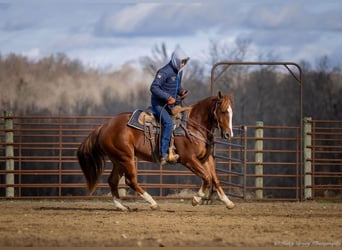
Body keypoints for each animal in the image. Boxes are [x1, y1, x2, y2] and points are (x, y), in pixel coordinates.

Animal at [77, 91, 235, 210]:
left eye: (231, 112)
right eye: (222, 111)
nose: (229, 134)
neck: (193, 125)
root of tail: (104, 126)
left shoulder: (206, 158)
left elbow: (215, 178)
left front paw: (227, 201)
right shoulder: (188, 159)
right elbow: (206, 177)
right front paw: (196, 199)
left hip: (118, 160)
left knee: (112, 180)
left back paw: (121, 206)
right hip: (126, 158)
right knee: (130, 180)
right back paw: (152, 202)